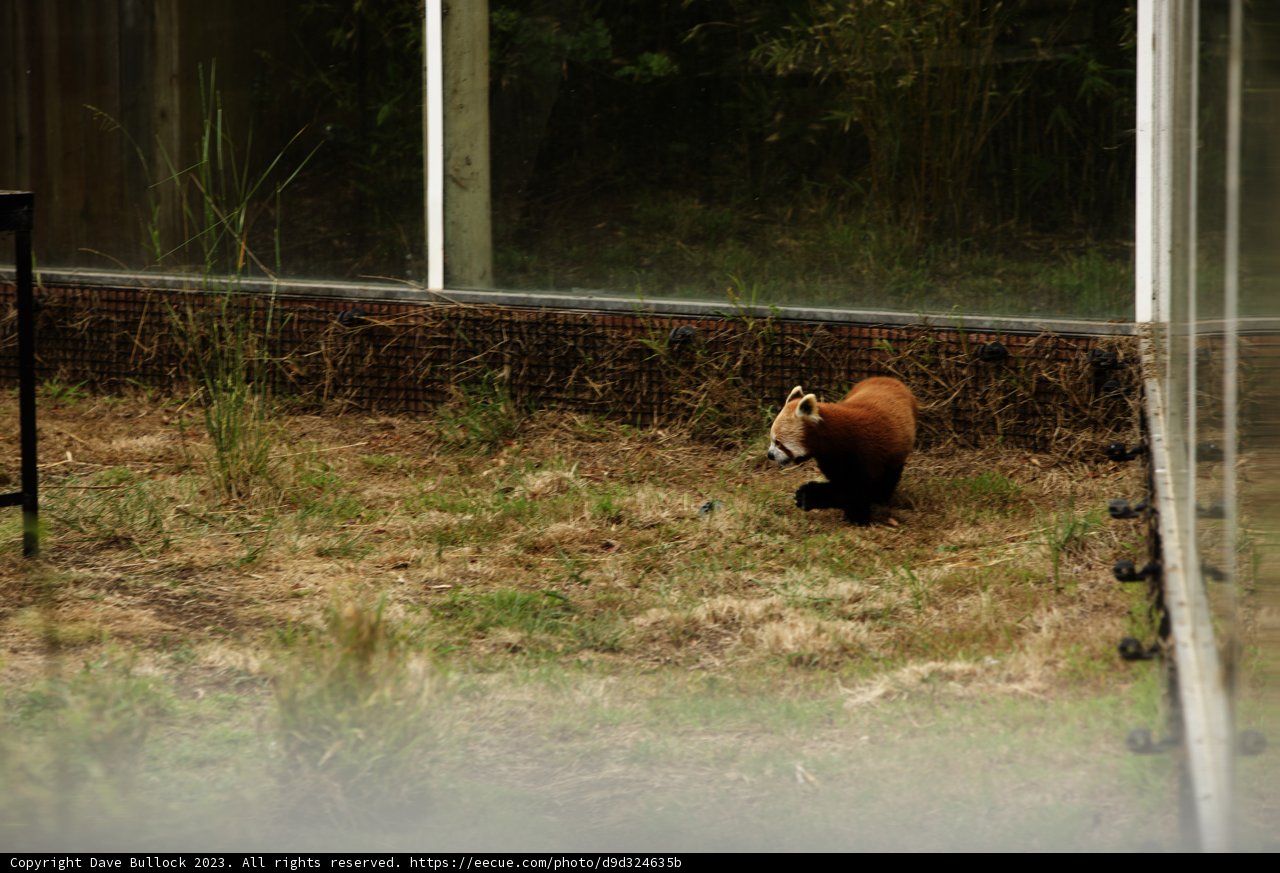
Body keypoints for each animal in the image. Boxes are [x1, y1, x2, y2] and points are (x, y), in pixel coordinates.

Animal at [767, 377, 918, 525]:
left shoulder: (866, 454)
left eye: (778, 442)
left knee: (890, 476)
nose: (770, 455)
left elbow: (856, 489)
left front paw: (807, 495)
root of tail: (888, 378)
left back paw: (881, 499)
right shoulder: (832, 460)